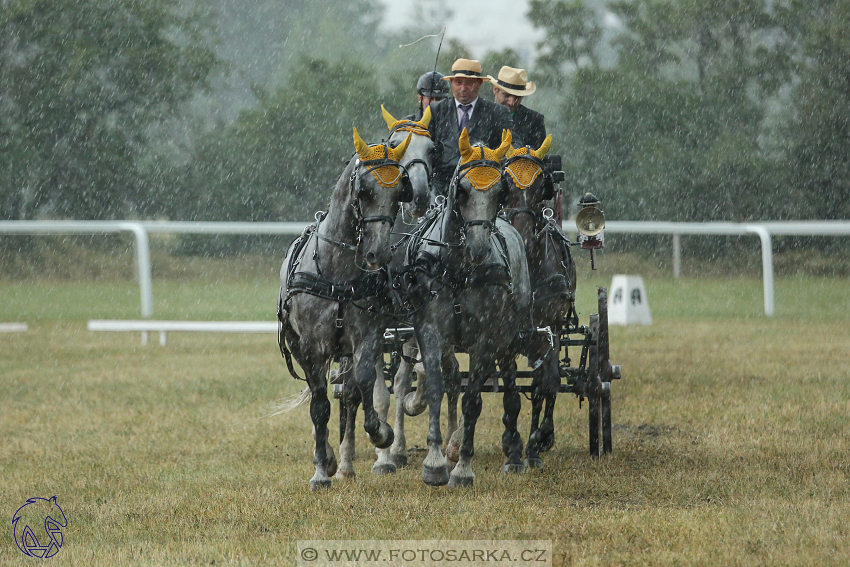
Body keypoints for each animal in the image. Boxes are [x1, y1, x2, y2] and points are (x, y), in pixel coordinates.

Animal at [276, 129, 412, 492]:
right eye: (363, 192)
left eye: (399, 193)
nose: (378, 254)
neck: (337, 275)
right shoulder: (312, 347)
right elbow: (319, 406)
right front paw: (321, 471)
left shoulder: (367, 335)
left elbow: (363, 386)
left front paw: (381, 434)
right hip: (301, 346)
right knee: (320, 396)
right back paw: (330, 458)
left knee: (354, 395)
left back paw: (357, 461)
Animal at [400, 130, 528, 488]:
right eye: (463, 190)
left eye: (500, 191)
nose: (479, 249)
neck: (457, 269)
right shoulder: (430, 330)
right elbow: (436, 386)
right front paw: (435, 461)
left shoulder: (485, 338)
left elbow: (474, 399)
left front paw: (463, 466)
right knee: (452, 378)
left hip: (508, 337)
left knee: (509, 385)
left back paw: (510, 453)